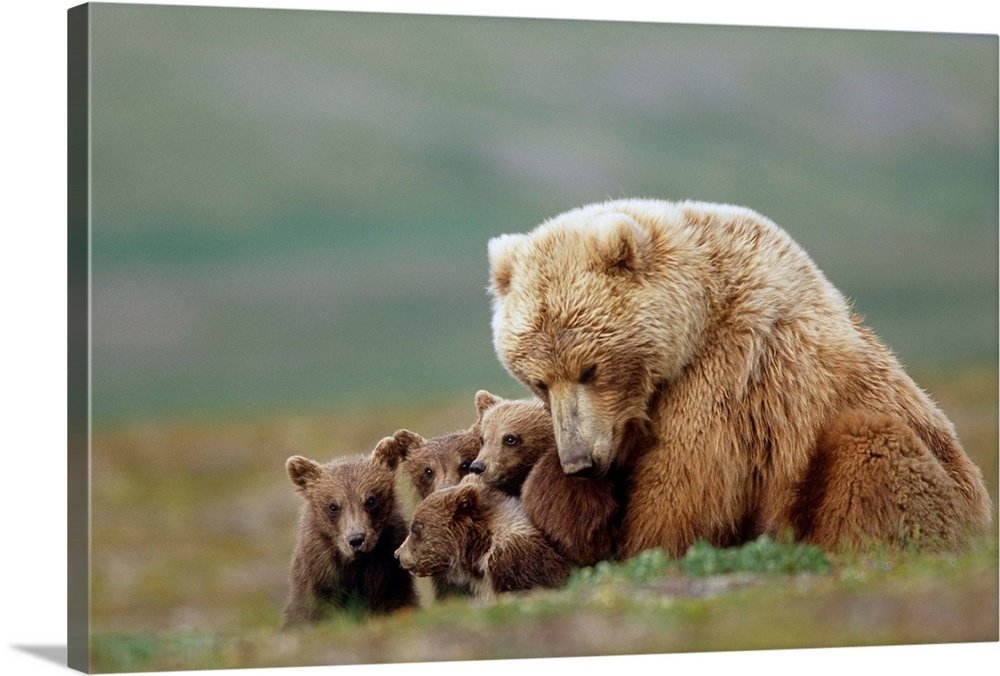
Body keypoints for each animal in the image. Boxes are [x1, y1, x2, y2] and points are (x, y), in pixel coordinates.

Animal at [487, 198, 991, 557]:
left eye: (589, 369)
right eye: (538, 381)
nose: (579, 461)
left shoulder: (729, 375)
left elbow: (682, 485)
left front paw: (642, 545)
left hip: (932, 478)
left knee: (870, 447)